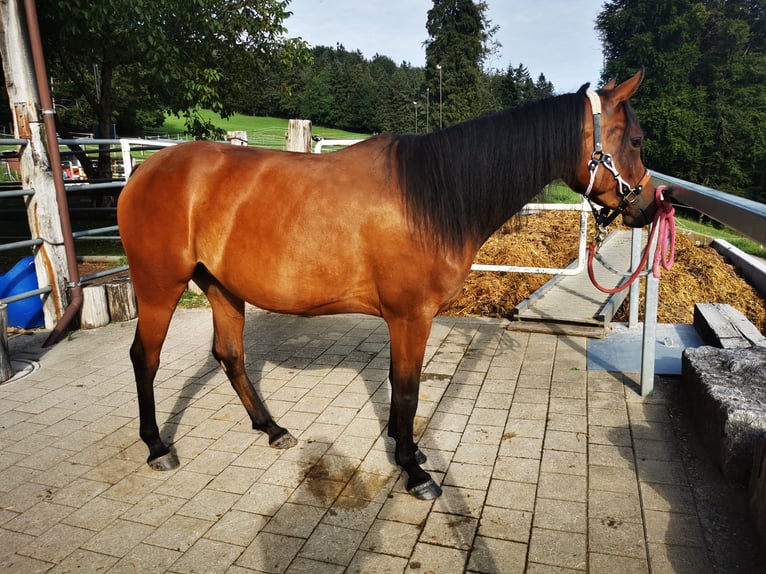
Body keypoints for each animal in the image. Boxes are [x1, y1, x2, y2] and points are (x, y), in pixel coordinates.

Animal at [117, 70, 656, 500]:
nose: (652, 206)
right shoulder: (411, 317)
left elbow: (401, 388)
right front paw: (415, 470)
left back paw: (271, 429)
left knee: (230, 355)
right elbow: (409, 391)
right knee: (145, 358)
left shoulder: (405, 320)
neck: (431, 196)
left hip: (222, 287)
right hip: (159, 286)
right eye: (635, 140)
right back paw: (157, 446)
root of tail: (144, 170)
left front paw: (406, 452)